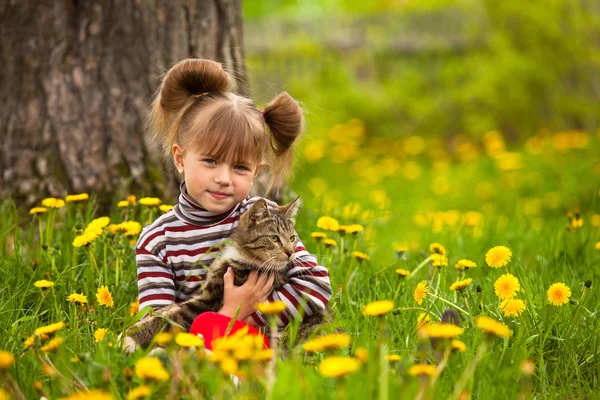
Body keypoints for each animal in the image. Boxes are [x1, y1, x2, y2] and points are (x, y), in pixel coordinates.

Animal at [122, 198, 326, 354]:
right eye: (274, 238)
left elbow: (170, 317)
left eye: (292, 238)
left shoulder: (208, 300)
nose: (291, 253)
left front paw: (128, 338)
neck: (245, 256)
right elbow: (165, 310)